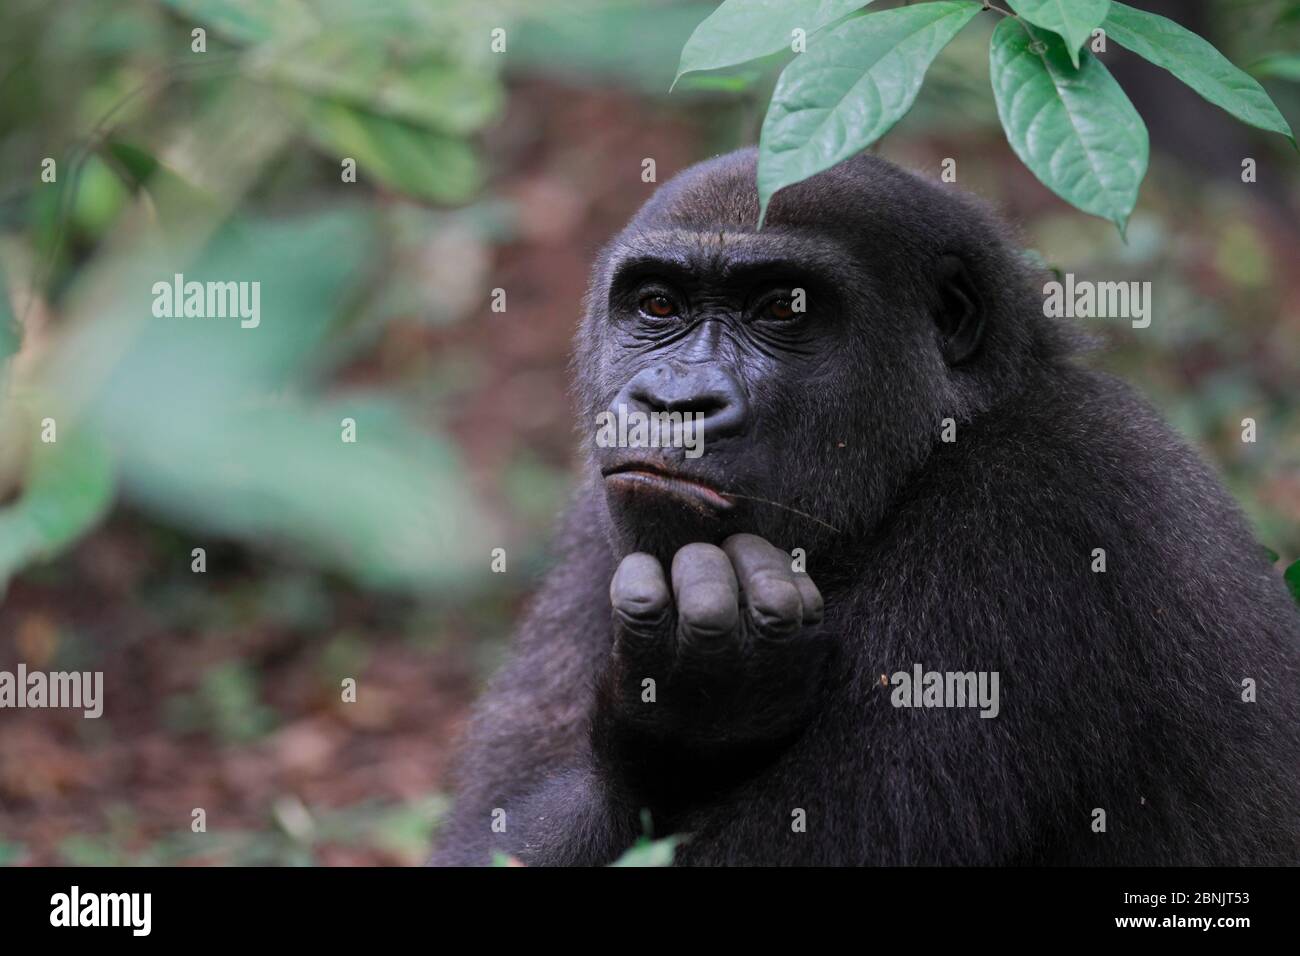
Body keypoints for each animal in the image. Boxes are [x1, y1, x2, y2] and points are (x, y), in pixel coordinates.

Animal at [431, 147, 1300, 868]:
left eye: (783, 308)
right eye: (656, 306)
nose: (675, 403)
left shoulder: (1028, 521)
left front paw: (682, 724)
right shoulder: (596, 520)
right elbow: (486, 837)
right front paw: (680, 724)